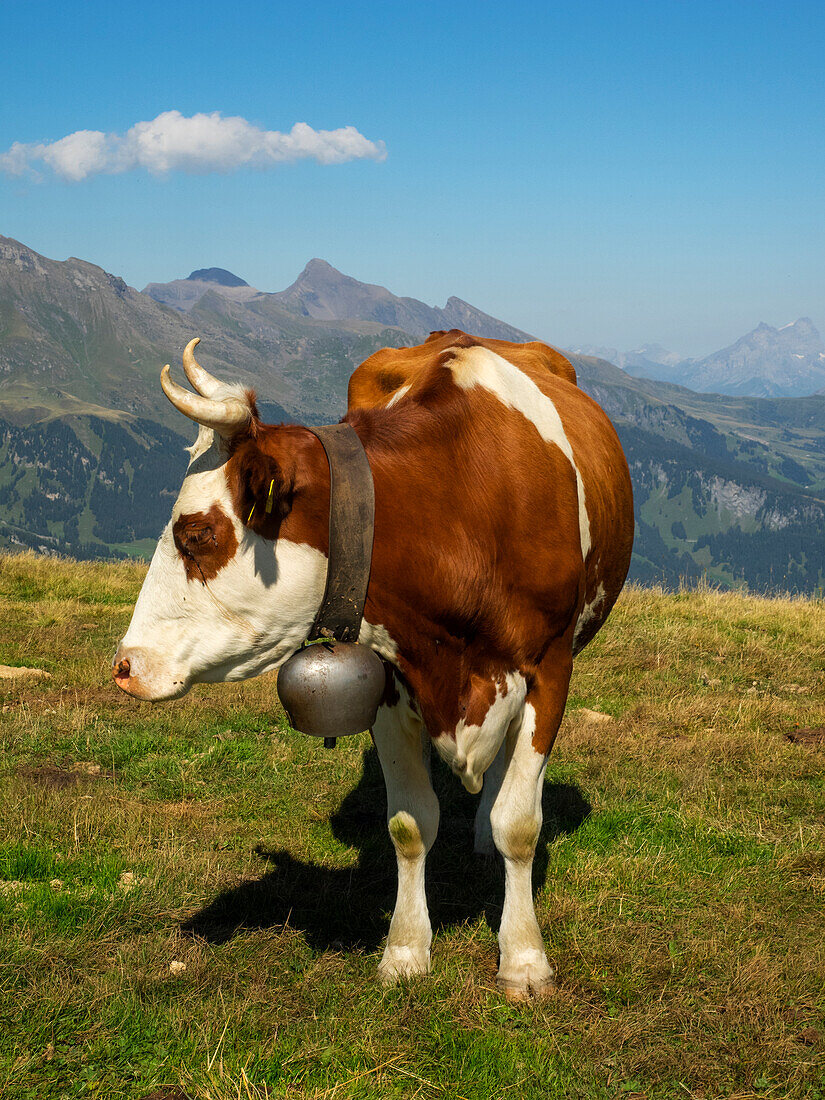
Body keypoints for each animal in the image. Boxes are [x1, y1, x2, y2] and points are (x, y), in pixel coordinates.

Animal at [113, 323, 638, 998]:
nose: (125, 665)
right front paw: (406, 950)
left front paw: (524, 959)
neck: (464, 504)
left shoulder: (549, 671)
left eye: (196, 534)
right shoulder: (390, 679)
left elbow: (520, 824)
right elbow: (410, 825)